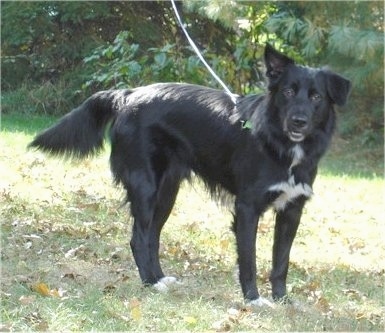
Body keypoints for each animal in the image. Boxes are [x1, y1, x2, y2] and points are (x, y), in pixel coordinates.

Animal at [28, 45, 350, 304]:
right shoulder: (247, 208)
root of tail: (127, 94)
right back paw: (151, 283)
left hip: (167, 191)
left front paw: (282, 300)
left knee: (152, 236)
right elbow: (249, 259)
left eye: (317, 97)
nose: (298, 121)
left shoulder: (292, 209)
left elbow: (281, 261)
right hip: (145, 186)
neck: (282, 146)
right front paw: (253, 300)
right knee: (139, 237)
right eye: (287, 92)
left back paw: (160, 278)